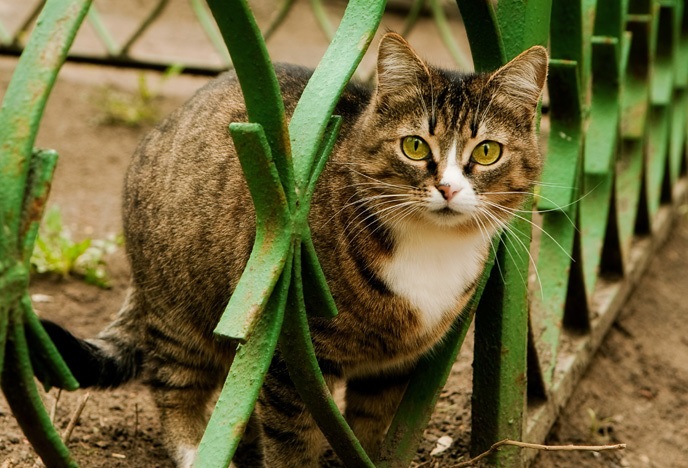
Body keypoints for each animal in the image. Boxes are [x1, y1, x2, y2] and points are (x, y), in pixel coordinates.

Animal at [39, 31, 548, 466]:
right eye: (414, 146)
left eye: (487, 152)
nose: (447, 188)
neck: (430, 248)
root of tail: (161, 127)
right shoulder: (291, 359)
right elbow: (291, 441)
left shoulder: (391, 369)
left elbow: (370, 426)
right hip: (179, 308)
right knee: (173, 386)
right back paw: (196, 448)